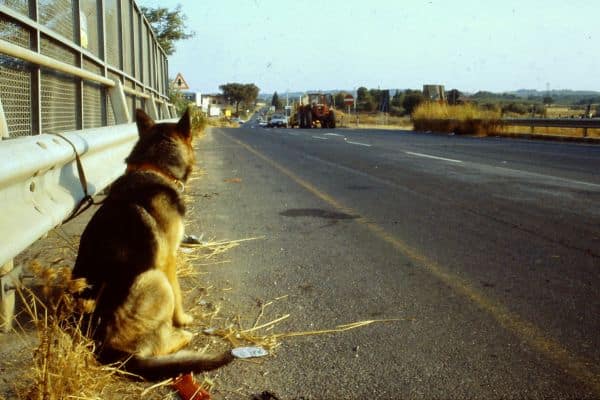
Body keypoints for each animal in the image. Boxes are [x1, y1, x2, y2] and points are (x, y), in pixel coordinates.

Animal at [72, 108, 234, 380]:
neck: (155, 168)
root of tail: (105, 348)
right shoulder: (169, 259)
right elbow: (179, 295)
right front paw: (183, 319)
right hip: (154, 279)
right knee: (155, 345)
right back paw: (181, 335)